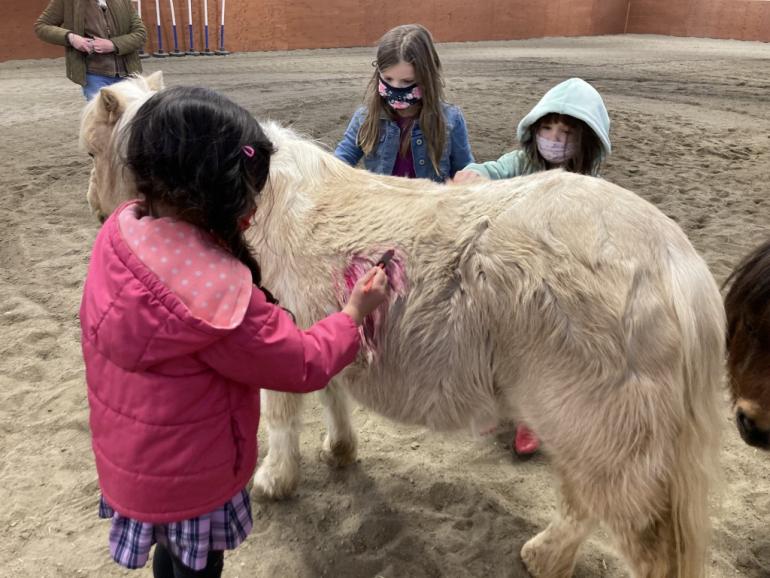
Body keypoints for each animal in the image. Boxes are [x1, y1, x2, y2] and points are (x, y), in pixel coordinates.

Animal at [81, 73, 724, 576]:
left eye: (92, 153)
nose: (94, 207)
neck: (258, 200)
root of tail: (675, 259)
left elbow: (281, 420)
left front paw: (275, 480)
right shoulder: (322, 331)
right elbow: (332, 391)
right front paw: (340, 450)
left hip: (600, 436)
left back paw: (542, 556)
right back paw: (547, 557)